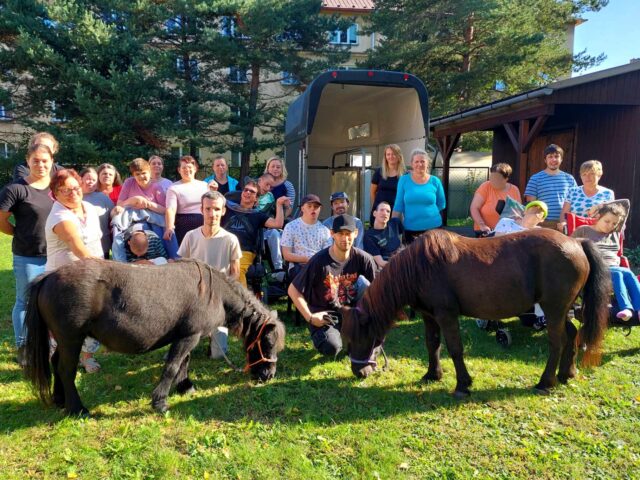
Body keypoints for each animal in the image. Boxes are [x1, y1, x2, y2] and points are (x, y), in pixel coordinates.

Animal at [24, 256, 284, 414]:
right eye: (267, 342)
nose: (268, 375)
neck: (214, 292)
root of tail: (49, 277)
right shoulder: (188, 337)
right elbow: (172, 366)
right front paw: (160, 401)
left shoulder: (187, 336)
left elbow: (183, 364)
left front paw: (185, 387)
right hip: (72, 339)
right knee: (66, 370)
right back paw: (77, 408)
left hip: (65, 340)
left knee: (56, 362)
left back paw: (60, 399)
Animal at [342, 231, 612, 396]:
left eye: (362, 337)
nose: (358, 371)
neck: (421, 266)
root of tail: (576, 242)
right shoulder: (430, 317)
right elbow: (432, 344)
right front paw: (432, 374)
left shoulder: (447, 315)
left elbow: (454, 349)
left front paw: (463, 384)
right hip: (563, 310)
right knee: (572, 334)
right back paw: (567, 373)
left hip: (553, 310)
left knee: (557, 342)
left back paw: (546, 382)